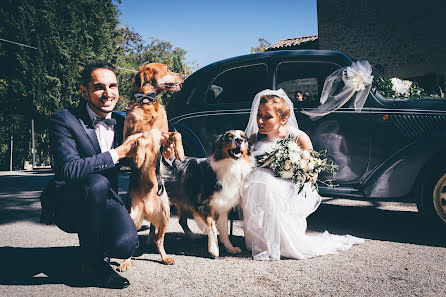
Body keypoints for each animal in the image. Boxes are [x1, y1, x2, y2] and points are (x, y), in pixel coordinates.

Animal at [118, 63, 185, 270]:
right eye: (167, 69)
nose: (184, 75)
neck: (146, 102)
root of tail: (147, 210)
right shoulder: (129, 137)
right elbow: (140, 139)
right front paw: (139, 158)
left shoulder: (163, 135)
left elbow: (177, 134)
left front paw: (180, 152)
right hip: (131, 217)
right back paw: (124, 263)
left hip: (165, 214)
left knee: (158, 240)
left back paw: (165, 257)